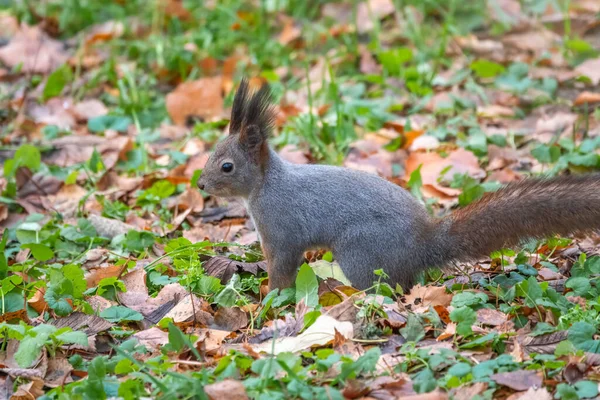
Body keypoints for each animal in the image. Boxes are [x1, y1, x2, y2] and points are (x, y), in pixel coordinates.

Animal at [198, 79, 600, 290]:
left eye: (227, 166)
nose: (201, 185)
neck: (266, 186)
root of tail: (422, 245)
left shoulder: (281, 233)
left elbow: (282, 269)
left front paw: (270, 298)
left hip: (359, 253)